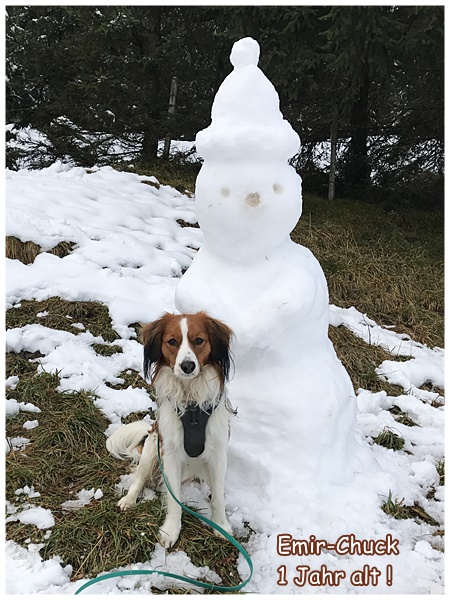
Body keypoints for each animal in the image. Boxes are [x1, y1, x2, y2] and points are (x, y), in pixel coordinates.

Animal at [107, 314, 234, 548]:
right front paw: (170, 530)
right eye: (172, 342)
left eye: (199, 340)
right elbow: (174, 500)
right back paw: (129, 499)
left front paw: (221, 525)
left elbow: (219, 497)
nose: (187, 365)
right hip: (153, 447)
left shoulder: (218, 453)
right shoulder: (171, 453)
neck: (191, 404)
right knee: (139, 479)